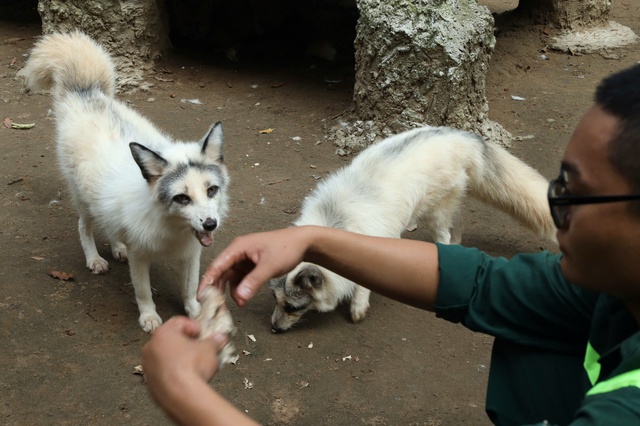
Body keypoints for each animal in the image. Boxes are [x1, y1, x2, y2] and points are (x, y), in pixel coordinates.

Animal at [18, 31, 230, 334]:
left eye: (211, 190)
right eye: (182, 197)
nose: (211, 224)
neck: (170, 228)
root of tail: (85, 93)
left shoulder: (192, 255)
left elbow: (190, 290)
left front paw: (197, 314)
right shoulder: (141, 257)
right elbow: (143, 293)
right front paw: (149, 318)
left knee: (111, 226)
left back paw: (119, 247)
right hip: (84, 201)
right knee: (84, 227)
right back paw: (94, 259)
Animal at [270, 126, 556, 332]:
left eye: (293, 307)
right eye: (276, 301)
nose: (273, 328)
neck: (334, 220)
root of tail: (461, 136)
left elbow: (361, 286)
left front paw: (358, 306)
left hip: (435, 212)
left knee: (445, 235)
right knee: (457, 225)